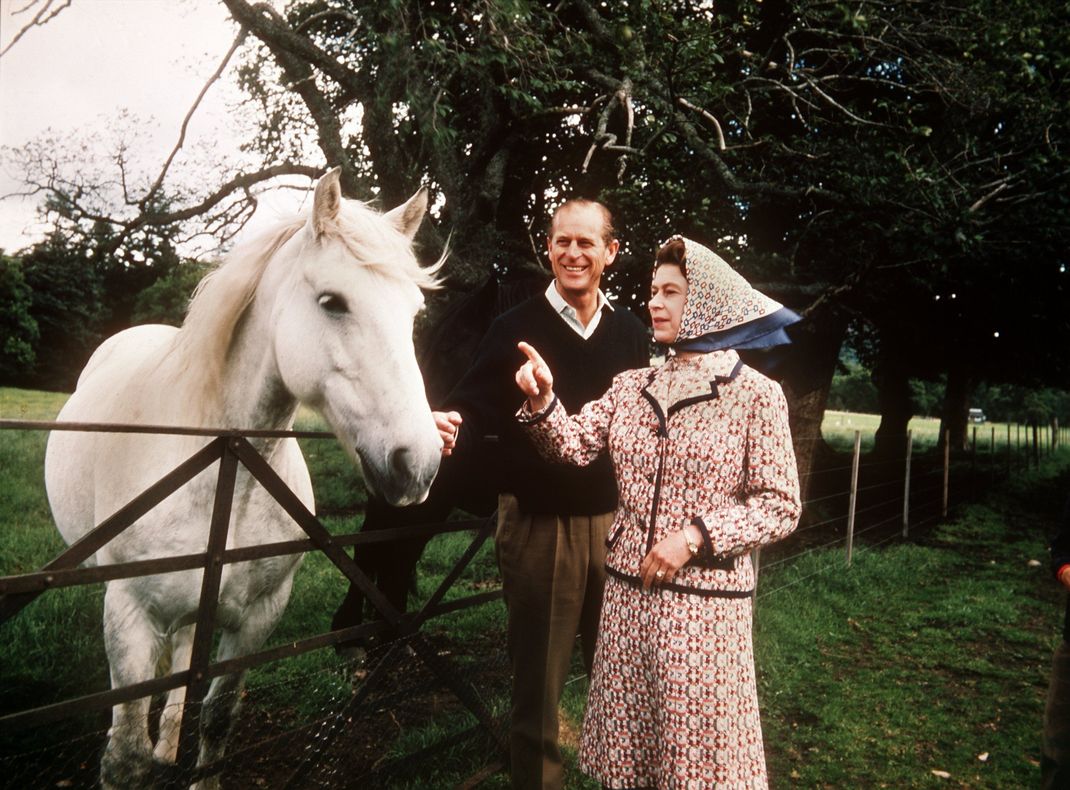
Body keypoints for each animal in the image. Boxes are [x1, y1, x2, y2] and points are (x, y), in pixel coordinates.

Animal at [42, 171, 442, 787]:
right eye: (333, 302)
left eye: (415, 312)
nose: (417, 462)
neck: (224, 469)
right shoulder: (130, 615)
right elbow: (125, 756)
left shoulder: (258, 618)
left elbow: (217, 717)